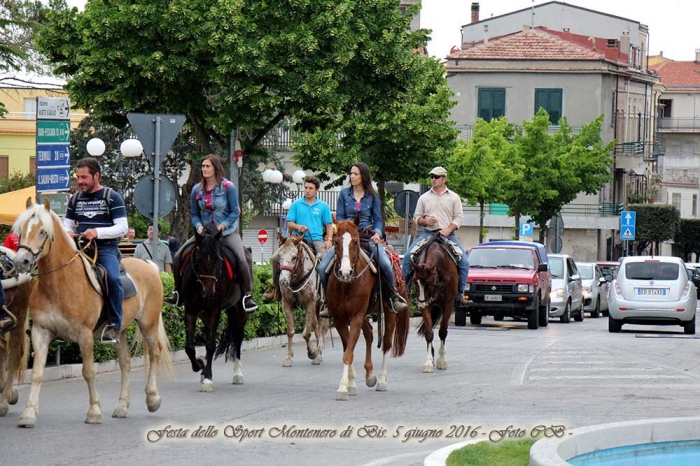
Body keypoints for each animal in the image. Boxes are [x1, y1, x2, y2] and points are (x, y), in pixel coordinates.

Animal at [12, 198, 174, 428]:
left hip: (148, 324)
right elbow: (36, 373)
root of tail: (149, 266)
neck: (59, 283)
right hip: (119, 331)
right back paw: (122, 406)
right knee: (125, 363)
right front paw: (28, 414)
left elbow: (88, 372)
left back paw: (153, 398)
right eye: (21, 229)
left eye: (43, 231)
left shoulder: (85, 336)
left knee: (155, 353)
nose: (21, 262)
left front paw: (94, 411)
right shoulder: (41, 332)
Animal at [175, 224, 249, 392]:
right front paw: (199, 366)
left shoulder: (215, 310)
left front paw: (208, 377)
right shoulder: (190, 310)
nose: (209, 293)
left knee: (238, 337)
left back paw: (238, 374)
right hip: (206, 314)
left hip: (240, 311)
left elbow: (210, 345)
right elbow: (189, 347)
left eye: (217, 259)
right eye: (198, 259)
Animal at [326, 219, 410, 400]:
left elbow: (348, 352)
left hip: (388, 312)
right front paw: (350, 384)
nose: (345, 272)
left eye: (355, 242)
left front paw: (343, 388)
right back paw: (370, 375)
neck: (346, 285)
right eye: (335, 243)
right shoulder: (339, 319)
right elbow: (347, 348)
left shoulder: (357, 316)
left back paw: (381, 381)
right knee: (370, 334)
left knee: (386, 343)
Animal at [410, 235, 460, 374]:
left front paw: (442, 361)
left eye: (429, 284)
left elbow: (442, 332)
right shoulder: (427, 306)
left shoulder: (448, 305)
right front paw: (428, 362)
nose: (420, 303)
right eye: (415, 283)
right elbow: (428, 333)